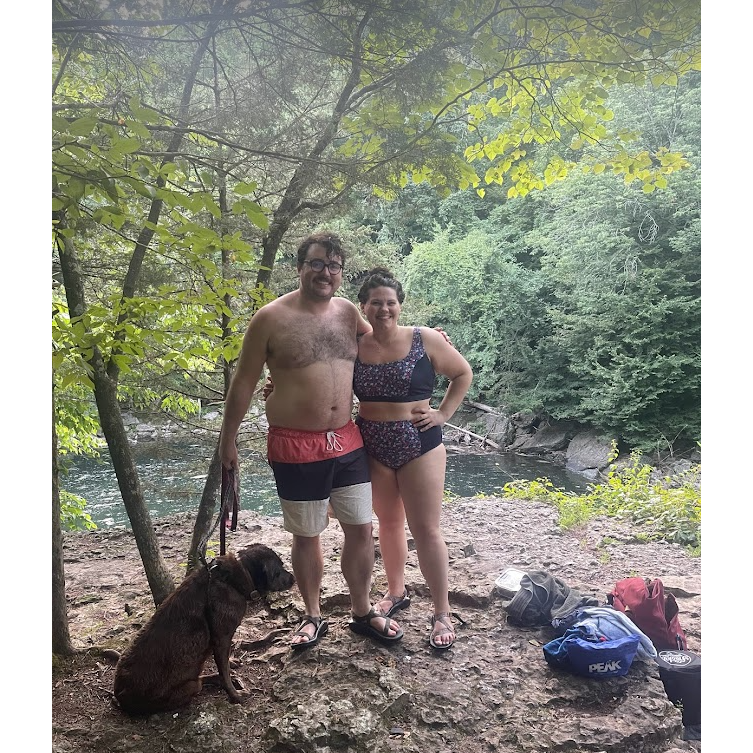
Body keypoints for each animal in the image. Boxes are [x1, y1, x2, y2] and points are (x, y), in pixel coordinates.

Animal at [111, 544, 294, 712]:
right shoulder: (221, 639)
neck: (234, 579)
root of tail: (119, 695)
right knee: (199, 682)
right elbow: (224, 672)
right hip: (189, 687)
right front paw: (235, 695)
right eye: (278, 570)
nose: (293, 578)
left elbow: (225, 665)